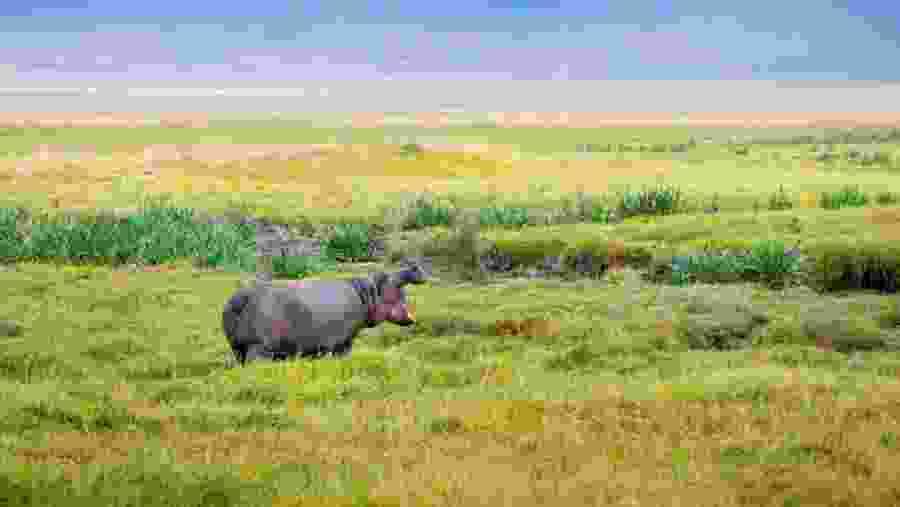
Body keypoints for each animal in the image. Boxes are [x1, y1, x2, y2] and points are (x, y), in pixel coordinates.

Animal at [222, 263, 429, 364]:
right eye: (388, 277)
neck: (367, 292)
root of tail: (240, 297)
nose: (415, 267)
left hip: (238, 348)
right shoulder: (343, 343)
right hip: (259, 349)